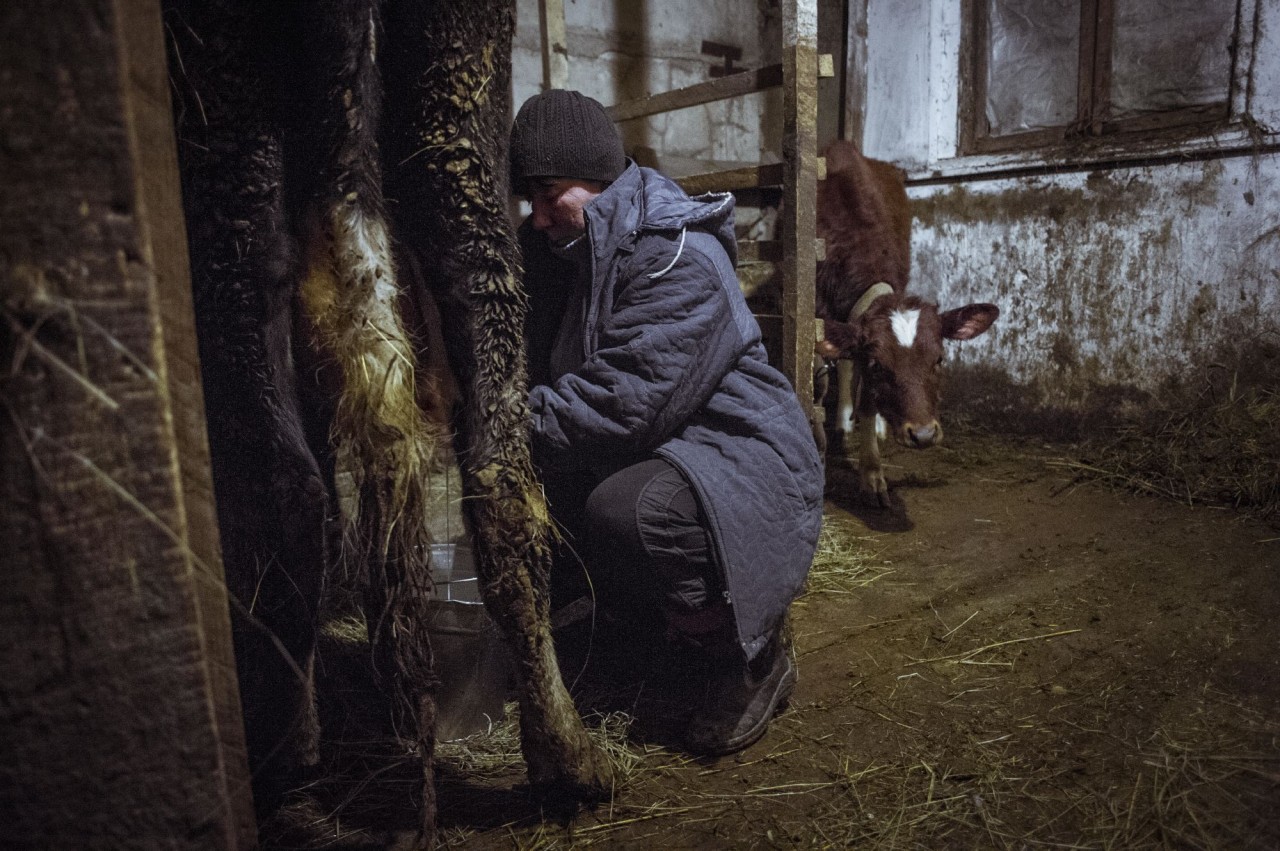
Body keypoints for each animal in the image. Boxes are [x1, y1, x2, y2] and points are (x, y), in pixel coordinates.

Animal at [163, 0, 610, 842]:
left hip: (225, 118)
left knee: (287, 489)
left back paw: (288, 773)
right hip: (456, 108)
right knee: (500, 476)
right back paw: (567, 760)